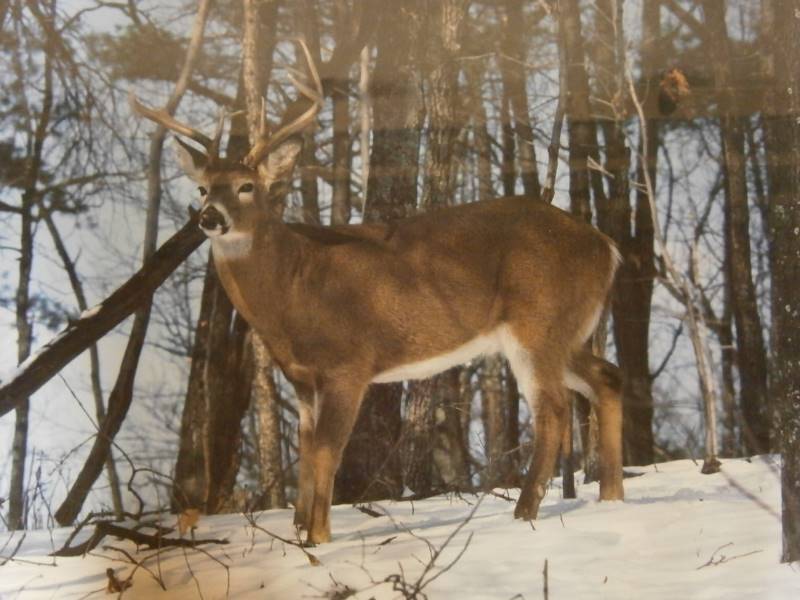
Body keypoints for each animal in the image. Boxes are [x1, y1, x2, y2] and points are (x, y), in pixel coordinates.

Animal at [131, 40, 624, 545]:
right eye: (202, 187)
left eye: (247, 186)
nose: (209, 217)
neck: (293, 287)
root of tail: (605, 247)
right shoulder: (302, 378)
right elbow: (306, 453)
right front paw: (301, 530)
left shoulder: (349, 363)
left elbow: (327, 451)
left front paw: (319, 537)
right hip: (566, 330)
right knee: (608, 378)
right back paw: (612, 497)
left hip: (536, 323)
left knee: (554, 409)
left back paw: (525, 512)